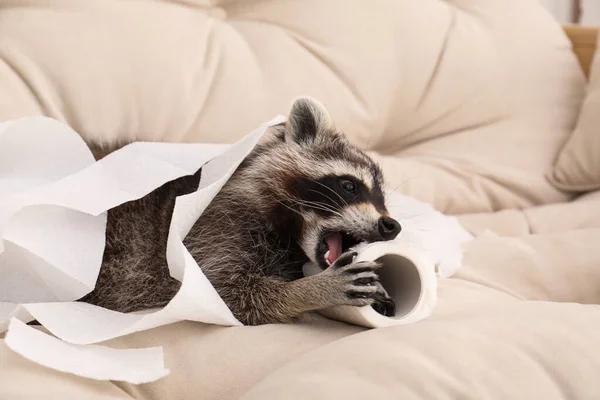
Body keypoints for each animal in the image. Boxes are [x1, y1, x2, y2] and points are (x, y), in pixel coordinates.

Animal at [77, 97, 400, 324]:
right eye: (349, 185)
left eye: (383, 199)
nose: (391, 225)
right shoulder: (216, 228)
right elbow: (227, 293)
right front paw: (308, 290)